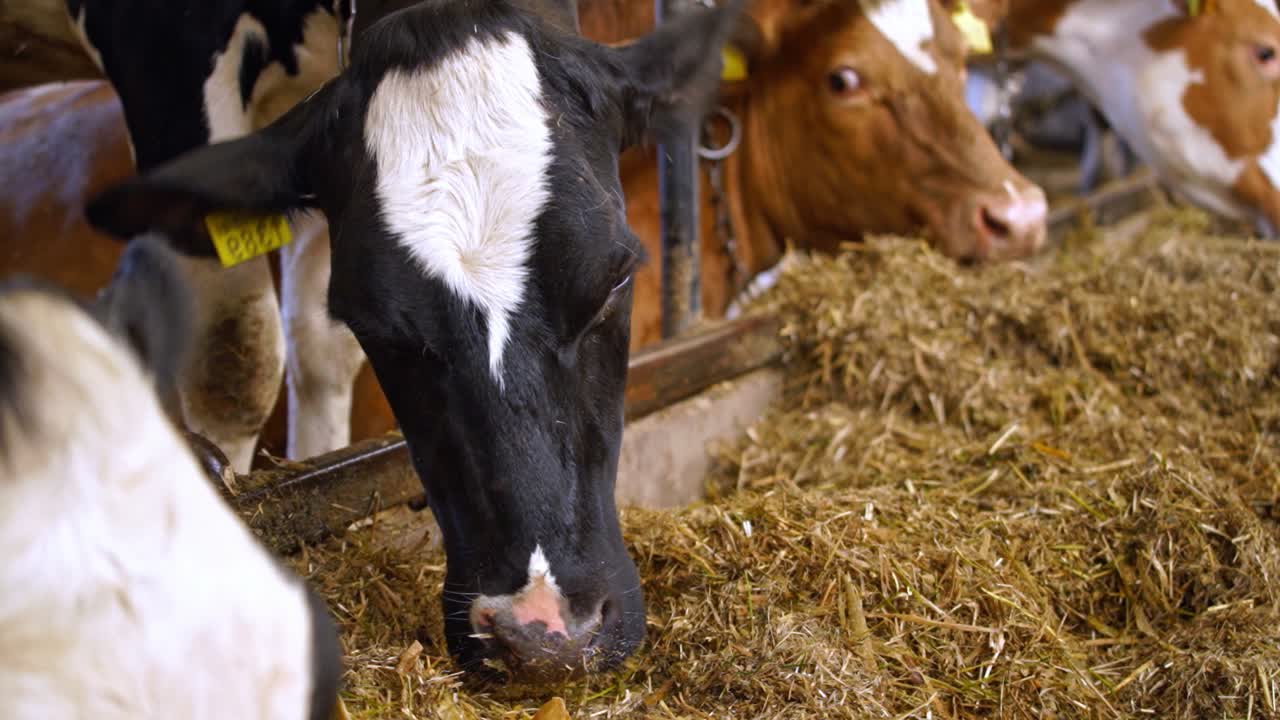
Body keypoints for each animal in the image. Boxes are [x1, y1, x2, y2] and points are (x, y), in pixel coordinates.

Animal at [80, 0, 744, 684]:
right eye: (380, 327)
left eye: (615, 278)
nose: (543, 636)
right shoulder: (167, 56)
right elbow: (234, 362)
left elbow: (317, 355)